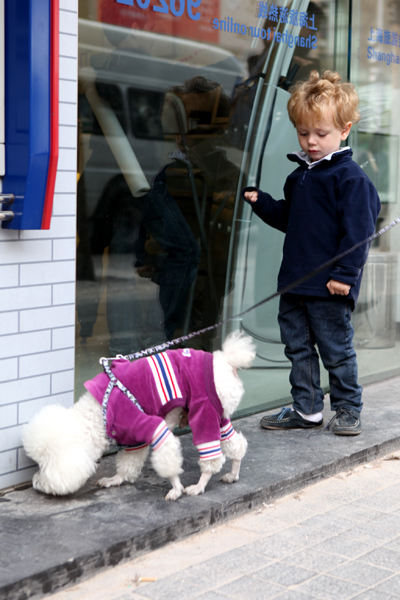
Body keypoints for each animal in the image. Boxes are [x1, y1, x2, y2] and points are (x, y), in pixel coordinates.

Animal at [21, 330, 255, 500]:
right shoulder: (134, 441)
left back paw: (199, 485)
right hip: (219, 415)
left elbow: (168, 463)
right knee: (235, 445)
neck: (97, 415)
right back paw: (233, 474)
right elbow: (128, 463)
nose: (35, 482)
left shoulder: (150, 427)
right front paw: (115, 479)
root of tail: (226, 361)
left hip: (203, 411)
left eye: (43, 465)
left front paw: (176, 489)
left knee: (211, 456)